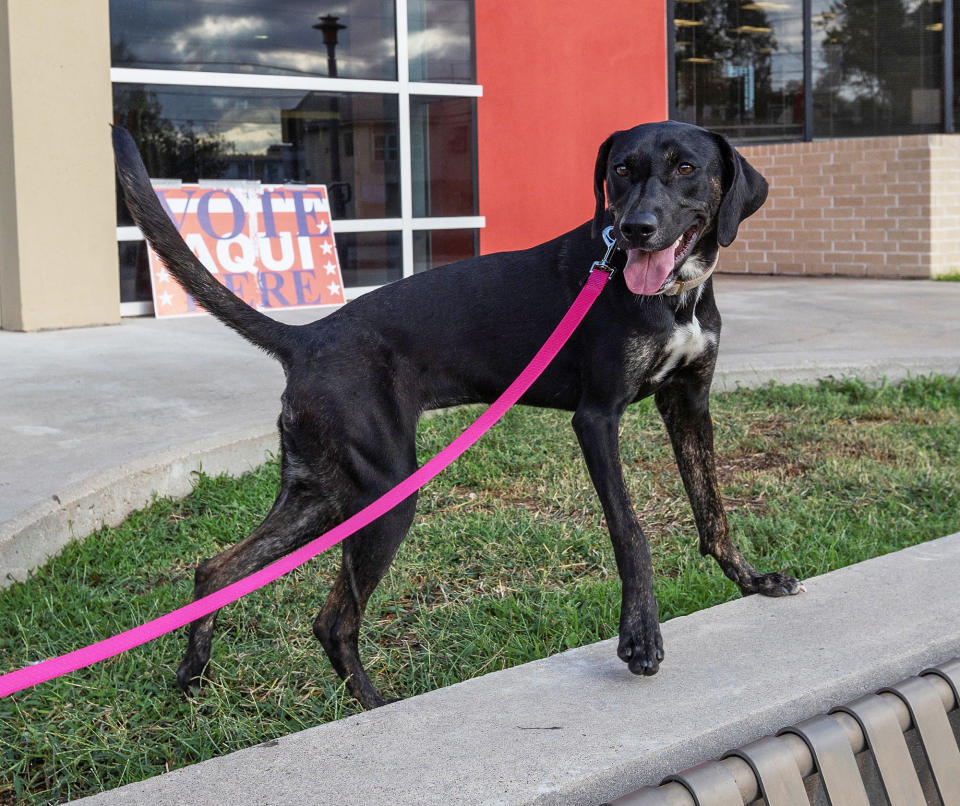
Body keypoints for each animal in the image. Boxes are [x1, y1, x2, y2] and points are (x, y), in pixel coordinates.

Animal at [112, 118, 804, 708]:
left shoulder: (688, 400)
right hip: (386, 492)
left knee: (217, 569)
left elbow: (711, 503)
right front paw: (639, 637)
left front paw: (751, 580)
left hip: (321, 492)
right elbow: (630, 530)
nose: (634, 228)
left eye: (686, 168)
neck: (673, 296)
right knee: (332, 619)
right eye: (620, 172)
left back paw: (193, 672)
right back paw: (375, 706)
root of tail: (306, 339)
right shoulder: (596, 419)